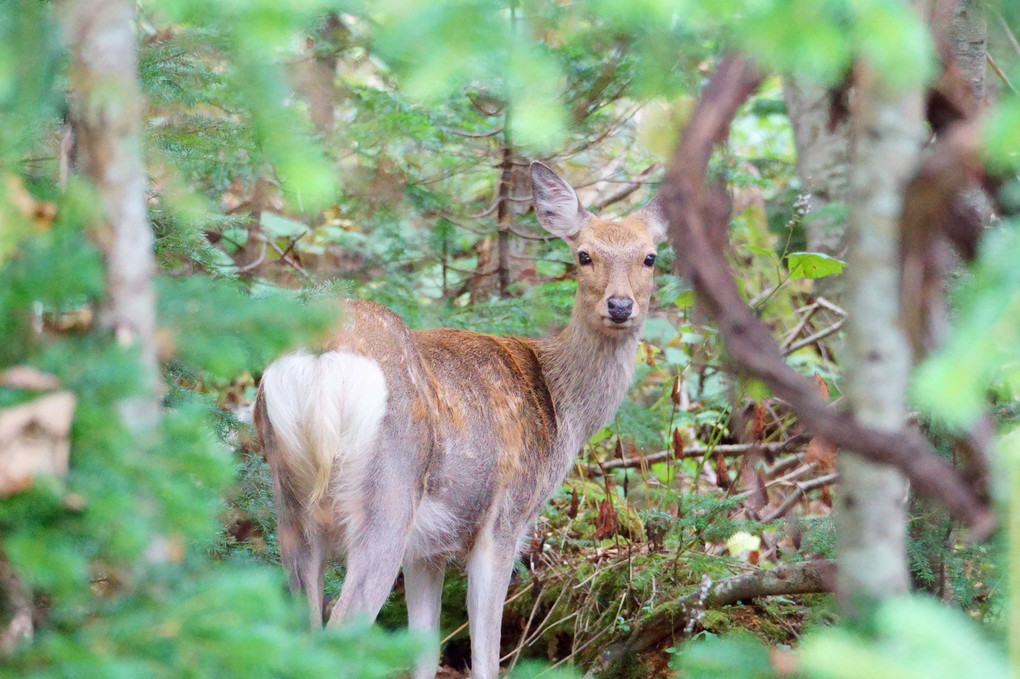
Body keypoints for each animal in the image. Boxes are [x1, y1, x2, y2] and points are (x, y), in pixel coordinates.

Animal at [253, 160, 669, 676]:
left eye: (650, 257)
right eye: (584, 255)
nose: (620, 305)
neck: (560, 407)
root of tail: (322, 356)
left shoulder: (428, 550)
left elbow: (424, 651)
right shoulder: (506, 518)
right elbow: (485, 655)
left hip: (288, 496)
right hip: (389, 489)